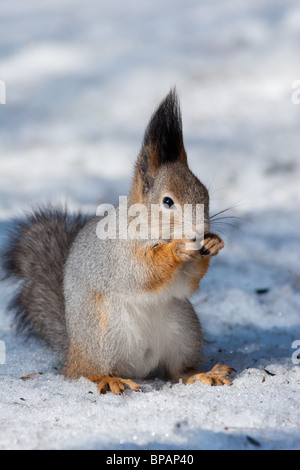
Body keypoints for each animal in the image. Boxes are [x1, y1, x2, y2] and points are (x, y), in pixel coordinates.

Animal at [2, 88, 237, 392]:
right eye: (168, 202)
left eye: (206, 194)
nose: (199, 231)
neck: (148, 227)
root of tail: (72, 353)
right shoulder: (118, 255)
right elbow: (141, 273)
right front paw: (176, 249)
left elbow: (184, 285)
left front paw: (214, 243)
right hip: (102, 334)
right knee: (86, 372)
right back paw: (108, 379)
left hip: (184, 330)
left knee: (176, 371)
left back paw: (202, 374)